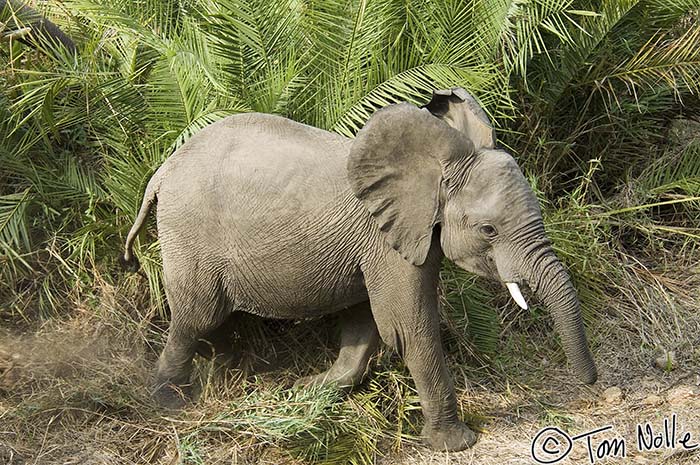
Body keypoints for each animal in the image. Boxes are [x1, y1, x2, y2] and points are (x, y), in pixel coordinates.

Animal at [121, 87, 596, 450]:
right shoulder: (388, 239)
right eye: (489, 229)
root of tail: (163, 171)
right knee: (195, 315)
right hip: (189, 231)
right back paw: (171, 401)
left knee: (214, 315)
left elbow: (368, 319)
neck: (436, 167)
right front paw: (456, 443)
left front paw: (311, 392)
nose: (590, 385)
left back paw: (235, 376)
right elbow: (406, 326)